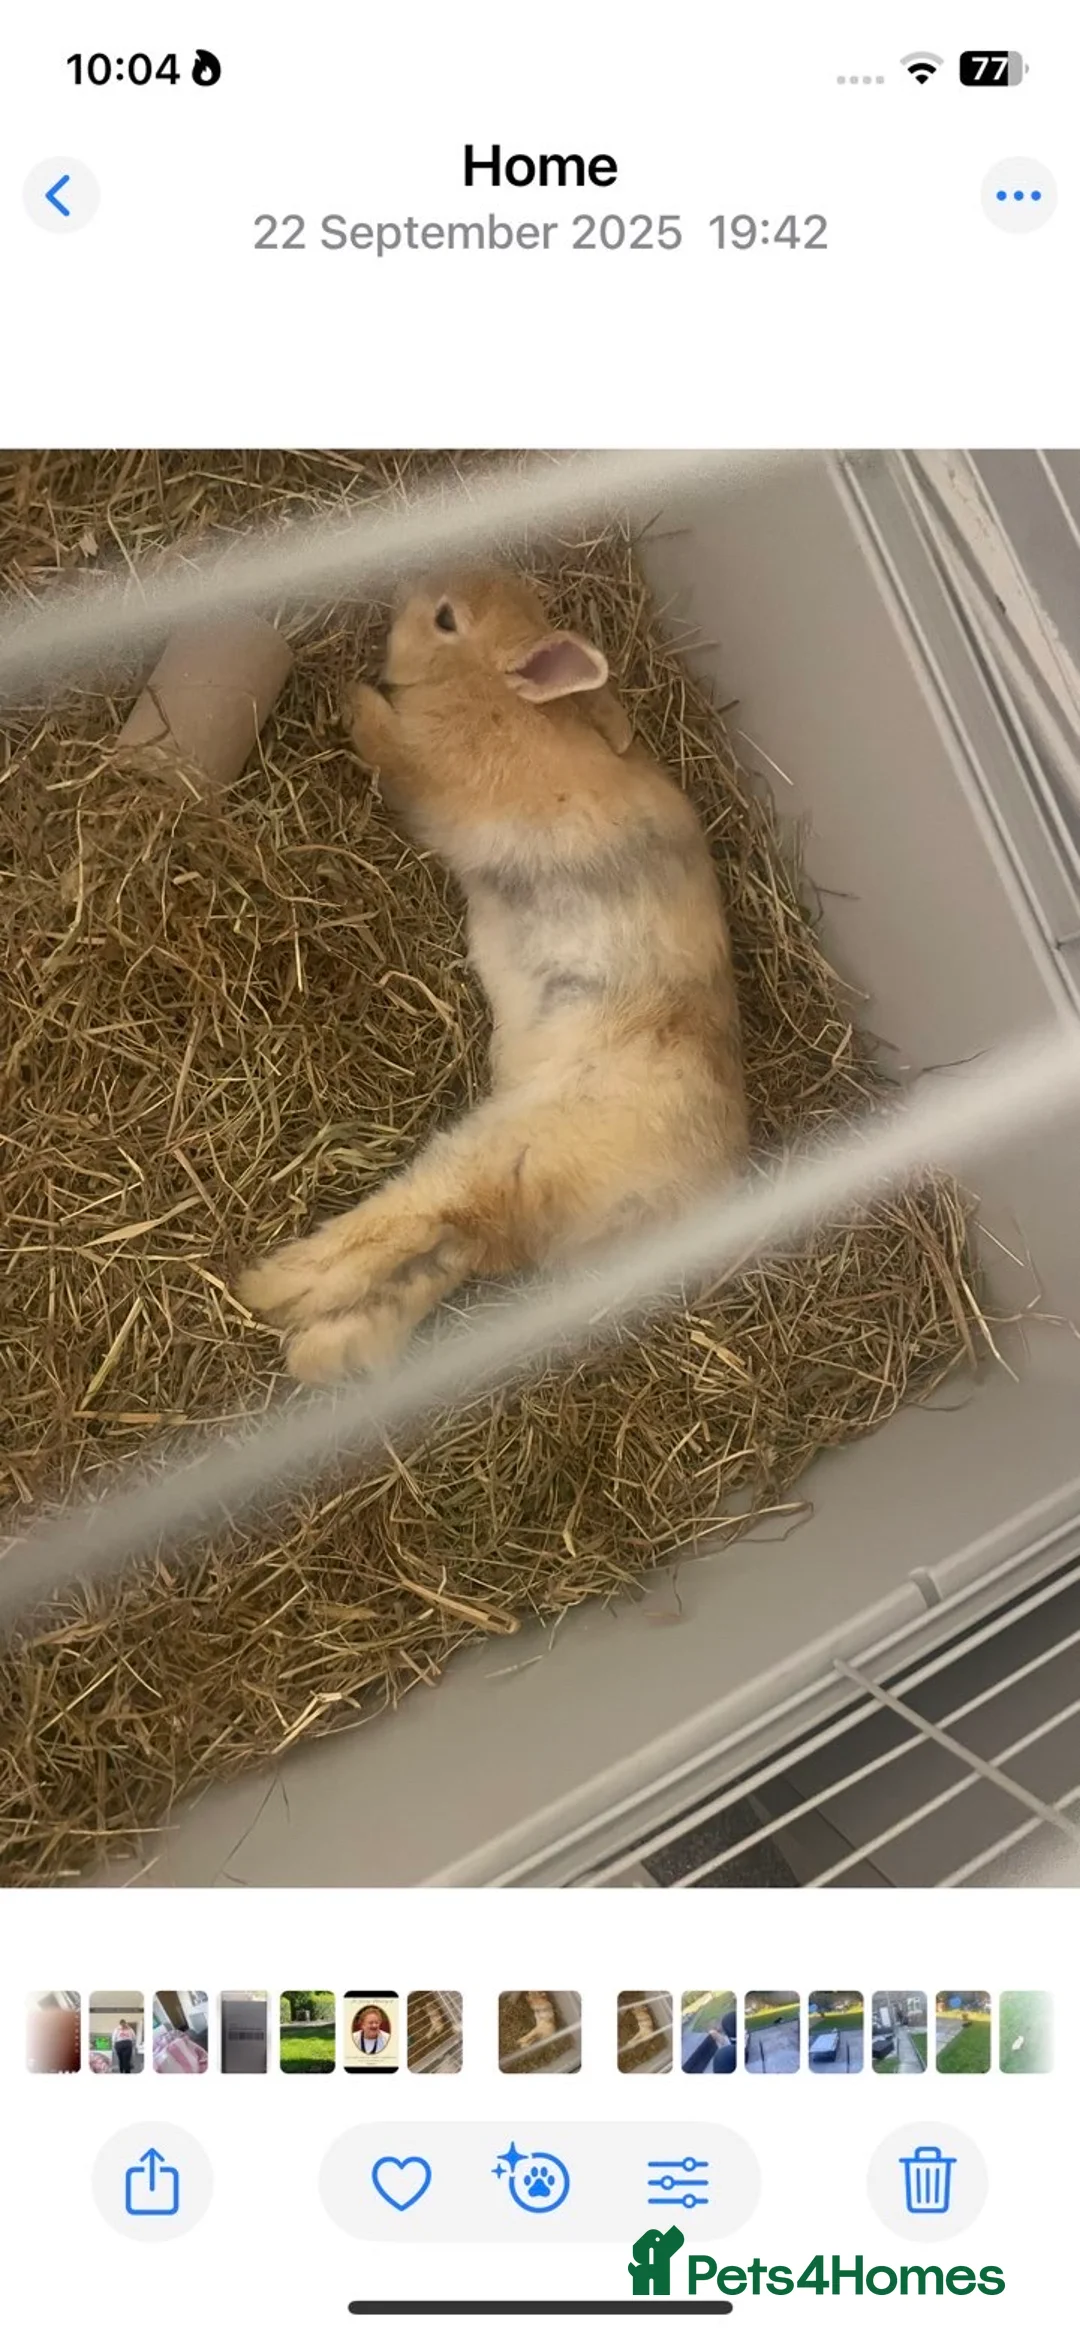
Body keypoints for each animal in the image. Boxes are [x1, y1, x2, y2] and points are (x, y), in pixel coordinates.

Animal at [236, 566, 748, 1385]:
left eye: (446, 618)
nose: (403, 594)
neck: (492, 692)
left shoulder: (423, 769)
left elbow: (384, 741)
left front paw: (351, 693)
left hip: (508, 1146)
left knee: (427, 1216)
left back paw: (278, 1285)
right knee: (454, 1249)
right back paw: (323, 1348)